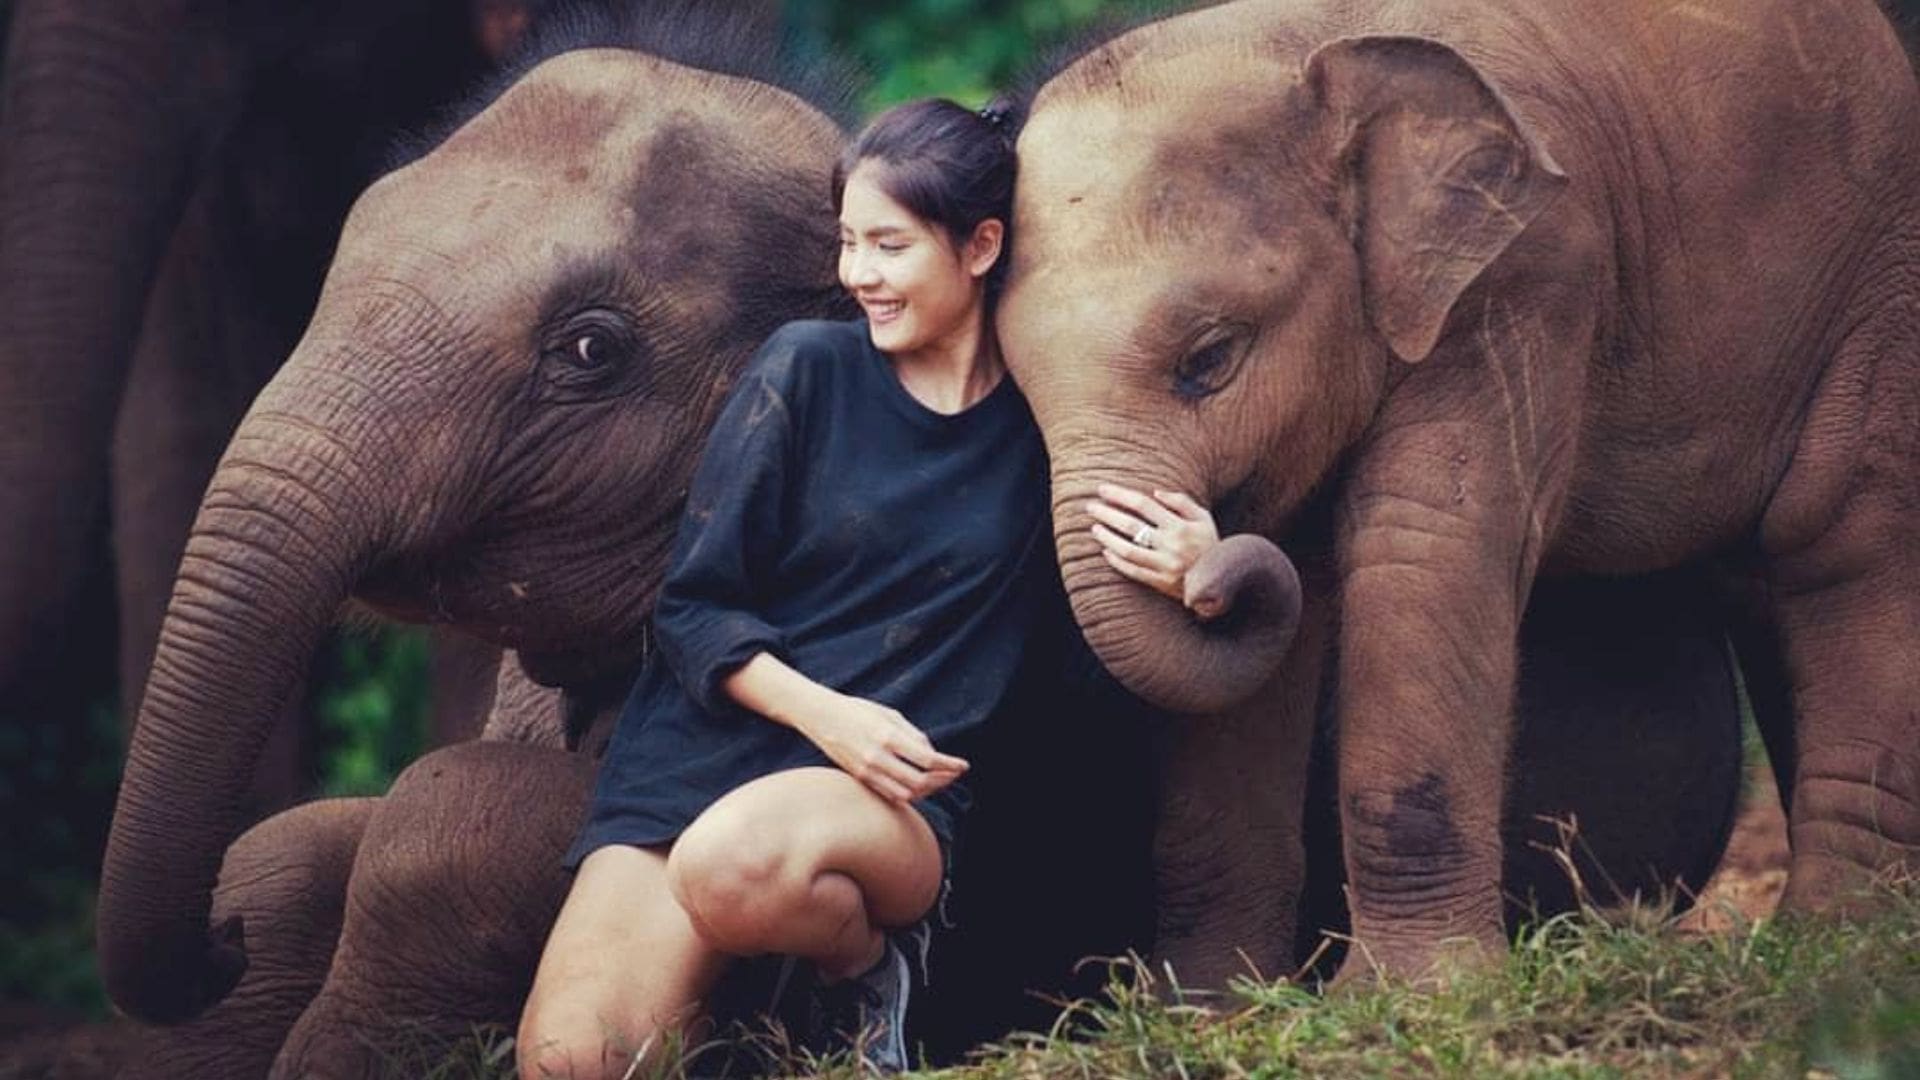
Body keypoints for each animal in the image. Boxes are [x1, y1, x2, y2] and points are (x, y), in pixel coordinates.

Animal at [999, 0, 1920, 983]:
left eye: (1210, 359)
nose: (1194, 561)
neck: (1300, 42)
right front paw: (1214, 1003)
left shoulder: (1526, 276)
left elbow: (1424, 546)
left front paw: (1410, 994)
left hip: (1879, 285)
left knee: (1842, 544)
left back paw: (1838, 946)